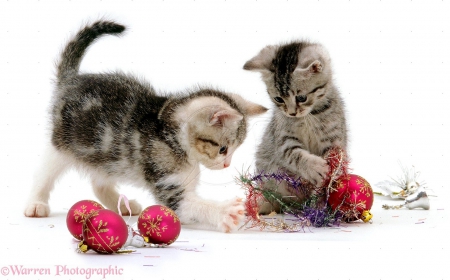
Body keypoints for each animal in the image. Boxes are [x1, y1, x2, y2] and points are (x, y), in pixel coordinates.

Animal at [24, 20, 268, 232]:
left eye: (234, 149)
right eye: (223, 149)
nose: (227, 165)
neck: (170, 133)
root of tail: (70, 80)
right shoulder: (168, 183)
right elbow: (189, 205)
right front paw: (223, 211)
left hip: (106, 157)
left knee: (98, 182)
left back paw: (122, 206)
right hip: (62, 143)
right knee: (44, 172)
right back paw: (36, 203)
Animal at [244, 40, 346, 213]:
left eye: (301, 97)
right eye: (278, 99)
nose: (292, 113)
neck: (308, 116)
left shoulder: (334, 141)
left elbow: (333, 168)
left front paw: (320, 199)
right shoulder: (283, 139)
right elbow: (294, 154)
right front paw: (315, 168)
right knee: (277, 199)